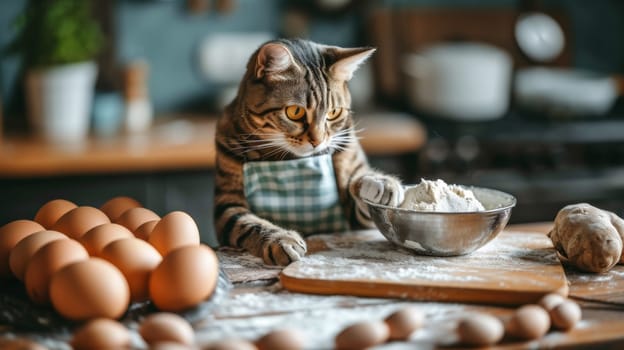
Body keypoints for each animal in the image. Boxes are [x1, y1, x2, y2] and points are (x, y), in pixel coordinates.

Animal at [212, 39, 402, 266]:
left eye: (333, 112)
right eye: (295, 112)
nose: (317, 141)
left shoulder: (354, 216)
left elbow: (360, 189)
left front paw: (379, 182)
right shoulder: (227, 207)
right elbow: (248, 223)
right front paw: (280, 239)